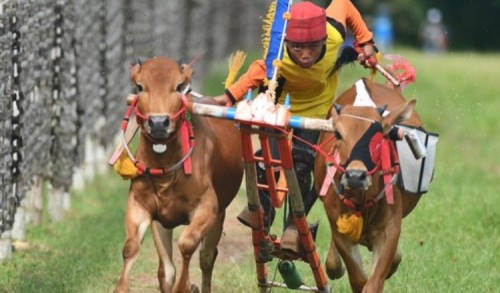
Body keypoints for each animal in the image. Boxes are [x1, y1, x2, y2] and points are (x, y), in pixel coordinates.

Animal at [115, 56, 244, 292]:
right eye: (140, 86)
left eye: (178, 86)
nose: (158, 123)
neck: (166, 175)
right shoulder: (143, 206)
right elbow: (134, 250)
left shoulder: (208, 206)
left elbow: (187, 243)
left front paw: (187, 286)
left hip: (220, 214)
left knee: (207, 257)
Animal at [314, 78, 424, 292]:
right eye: (338, 134)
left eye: (379, 136)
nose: (356, 176)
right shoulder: (339, 228)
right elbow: (357, 279)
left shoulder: (389, 230)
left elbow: (374, 282)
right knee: (334, 264)